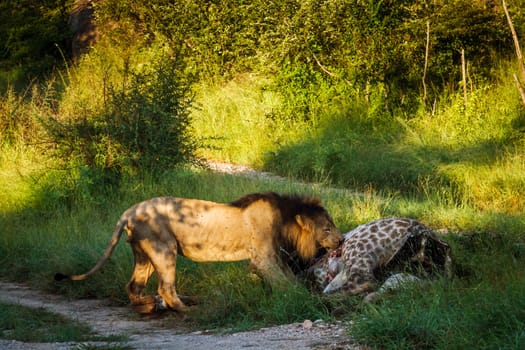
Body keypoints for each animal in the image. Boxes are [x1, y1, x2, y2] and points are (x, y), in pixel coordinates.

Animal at [55, 191, 342, 314]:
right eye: (327, 228)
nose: (340, 241)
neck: (286, 220)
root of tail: (129, 211)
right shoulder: (264, 258)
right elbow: (288, 282)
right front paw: (307, 299)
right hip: (164, 248)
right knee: (165, 288)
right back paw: (186, 309)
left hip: (144, 255)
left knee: (133, 287)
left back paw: (150, 305)